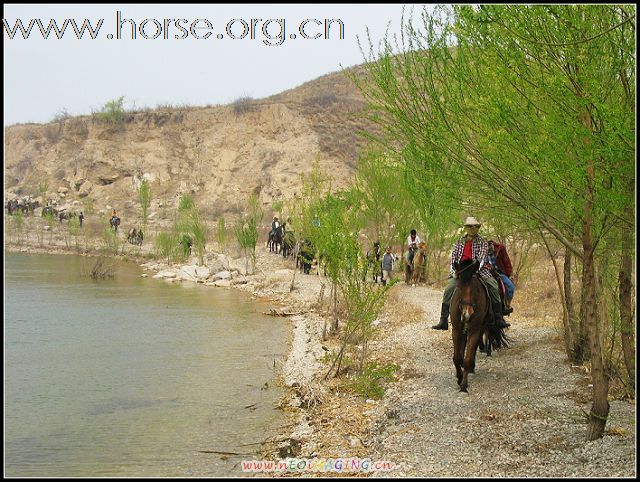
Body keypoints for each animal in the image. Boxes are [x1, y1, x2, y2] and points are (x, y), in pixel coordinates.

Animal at [450, 260, 510, 392]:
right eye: (459, 287)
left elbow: (467, 357)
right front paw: (459, 377)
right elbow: (457, 357)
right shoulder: (456, 329)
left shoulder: (475, 329)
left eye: (476, 289)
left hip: (482, 325)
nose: (466, 314)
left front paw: (464, 384)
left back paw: (473, 365)